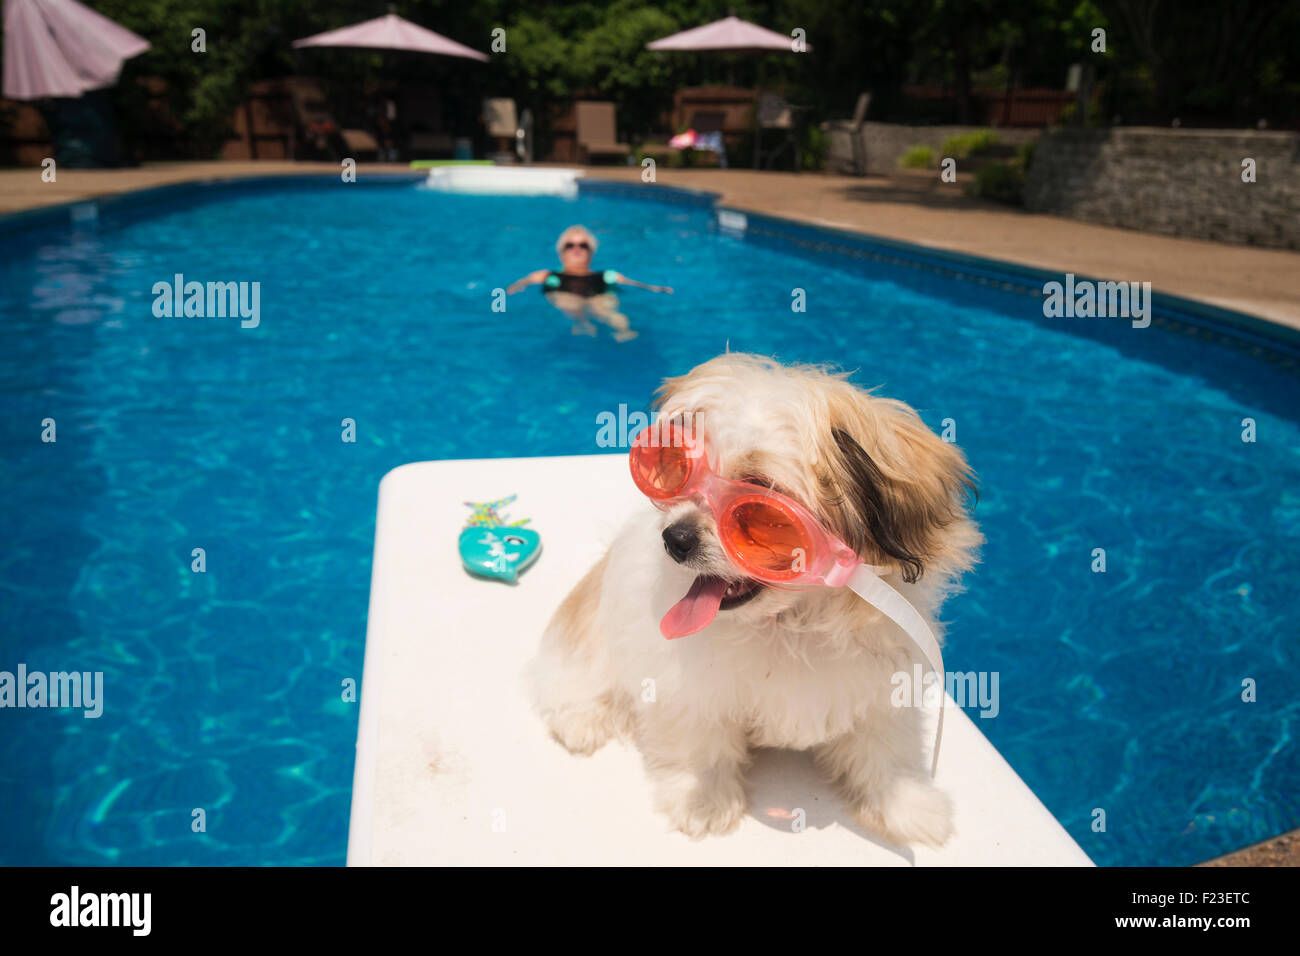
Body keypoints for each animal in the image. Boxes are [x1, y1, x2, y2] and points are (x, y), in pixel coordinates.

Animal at [525, 353, 977, 842]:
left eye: (760, 500)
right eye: (677, 469)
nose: (674, 538)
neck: (789, 624)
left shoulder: (885, 687)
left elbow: (887, 746)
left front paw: (905, 804)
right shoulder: (689, 688)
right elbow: (700, 742)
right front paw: (704, 798)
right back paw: (581, 717)